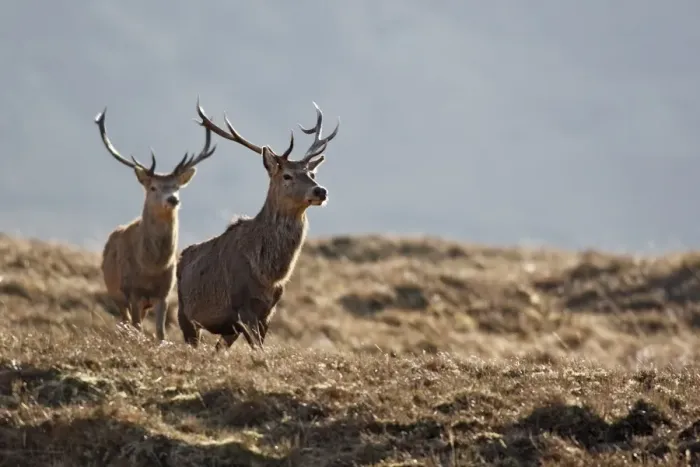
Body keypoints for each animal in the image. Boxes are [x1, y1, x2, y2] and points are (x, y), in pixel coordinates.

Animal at [95, 107, 216, 342]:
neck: (151, 267)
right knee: (126, 322)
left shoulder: (165, 292)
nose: (173, 199)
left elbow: (161, 333)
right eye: (153, 187)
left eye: (176, 186)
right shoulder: (132, 290)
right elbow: (137, 327)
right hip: (117, 294)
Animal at [175, 99, 339, 350]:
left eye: (311, 173)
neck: (268, 273)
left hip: (227, 329)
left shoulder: (267, 312)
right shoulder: (242, 306)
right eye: (287, 176)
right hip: (185, 314)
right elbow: (259, 351)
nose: (320, 191)